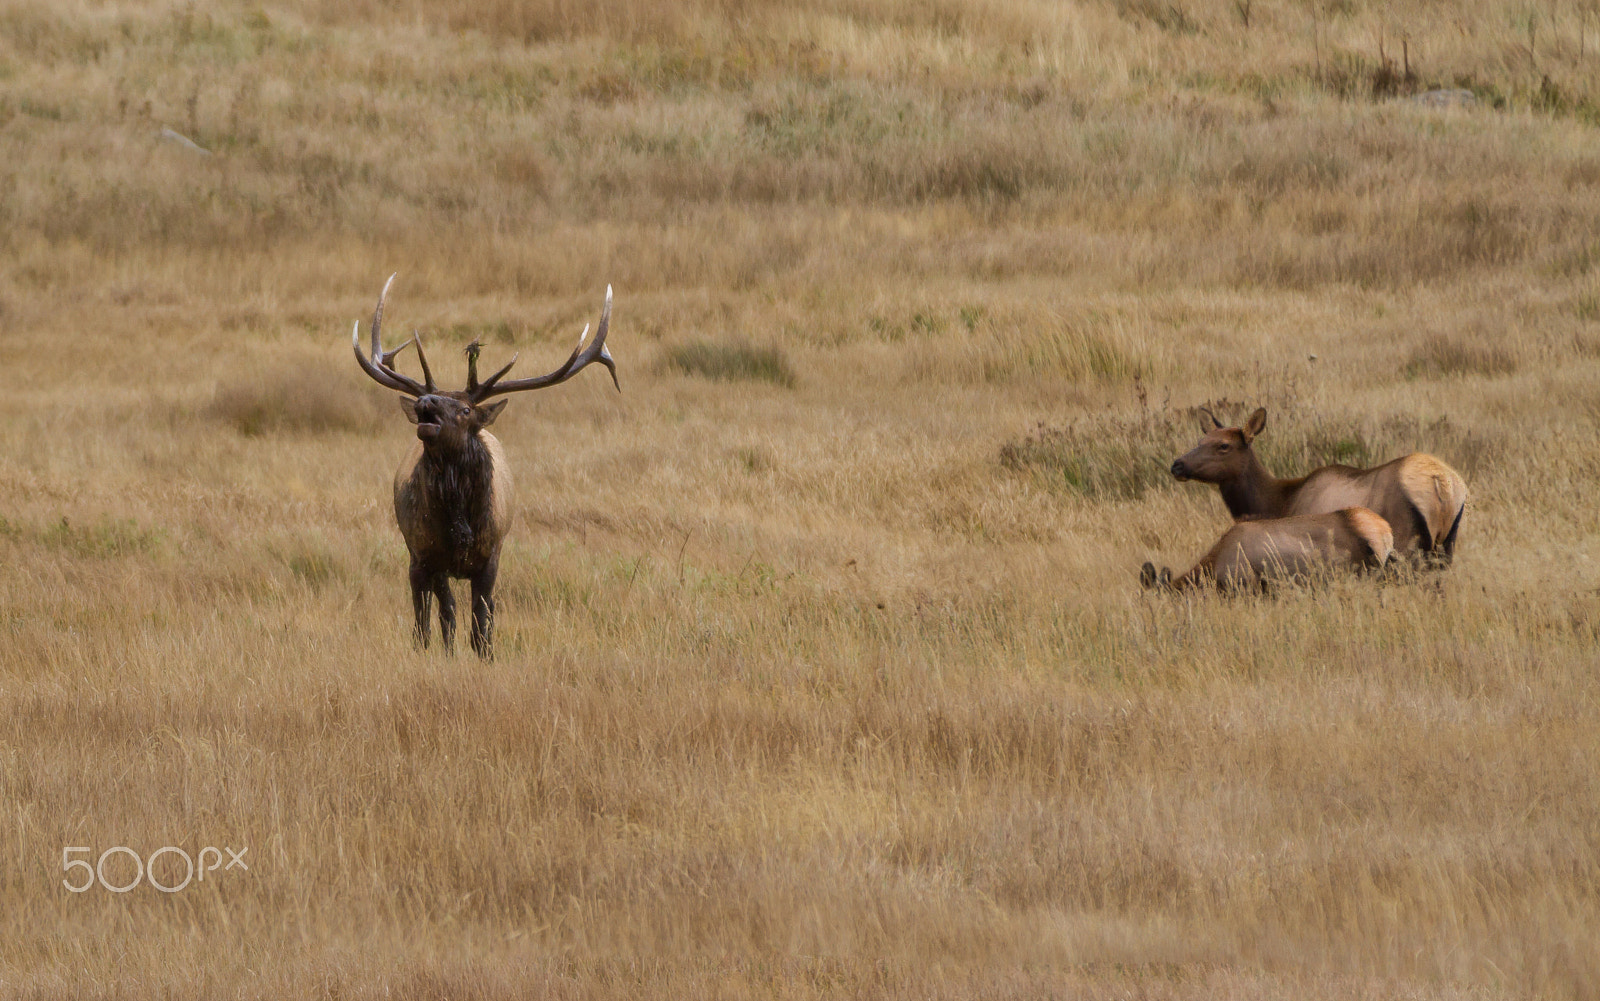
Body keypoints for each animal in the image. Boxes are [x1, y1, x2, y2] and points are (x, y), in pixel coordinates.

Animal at [350, 273, 617, 658]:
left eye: (465, 410)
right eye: (429, 400)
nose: (425, 401)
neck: (461, 526)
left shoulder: (492, 555)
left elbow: (482, 618)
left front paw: (486, 656)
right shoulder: (429, 553)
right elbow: (445, 613)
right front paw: (444, 654)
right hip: (416, 556)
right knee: (427, 610)